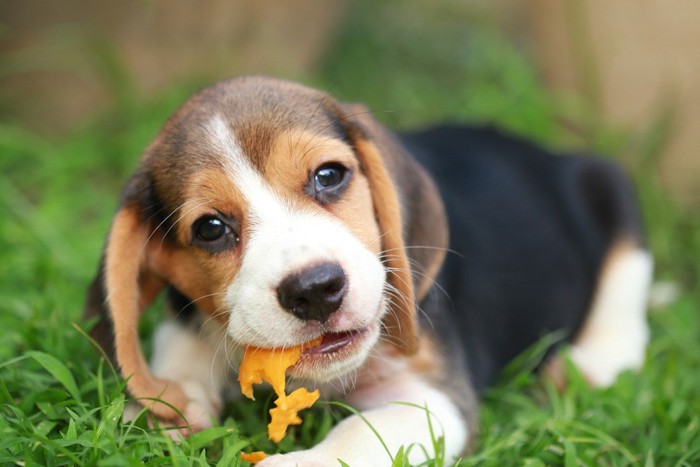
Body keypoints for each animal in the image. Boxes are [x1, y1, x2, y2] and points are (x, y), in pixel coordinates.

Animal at [83, 76, 652, 464]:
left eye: (329, 175)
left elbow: (357, 436)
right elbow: (173, 367)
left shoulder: (432, 397)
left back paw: (594, 361)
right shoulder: (185, 321)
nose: (316, 290)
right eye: (210, 228)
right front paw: (166, 409)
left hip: (608, 183)